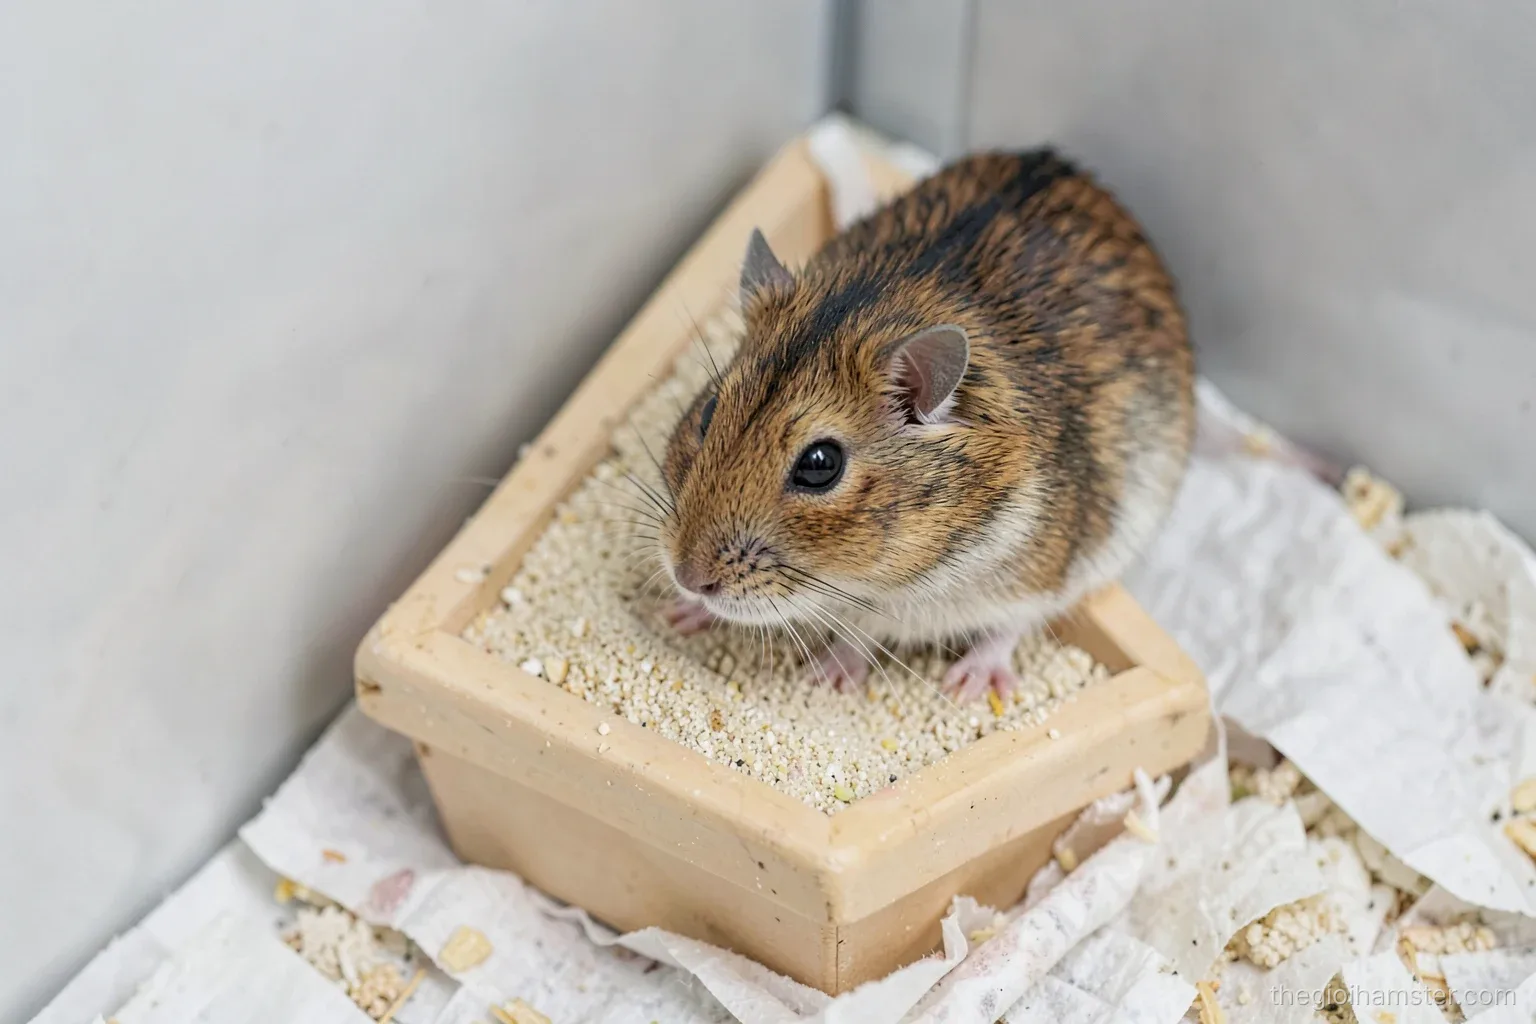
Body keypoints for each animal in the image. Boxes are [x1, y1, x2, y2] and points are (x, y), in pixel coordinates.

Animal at [656, 149, 1194, 702]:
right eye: (707, 413)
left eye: (820, 465)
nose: (687, 578)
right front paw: (679, 614)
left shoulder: (1043, 570)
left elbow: (1007, 626)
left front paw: (950, 687)